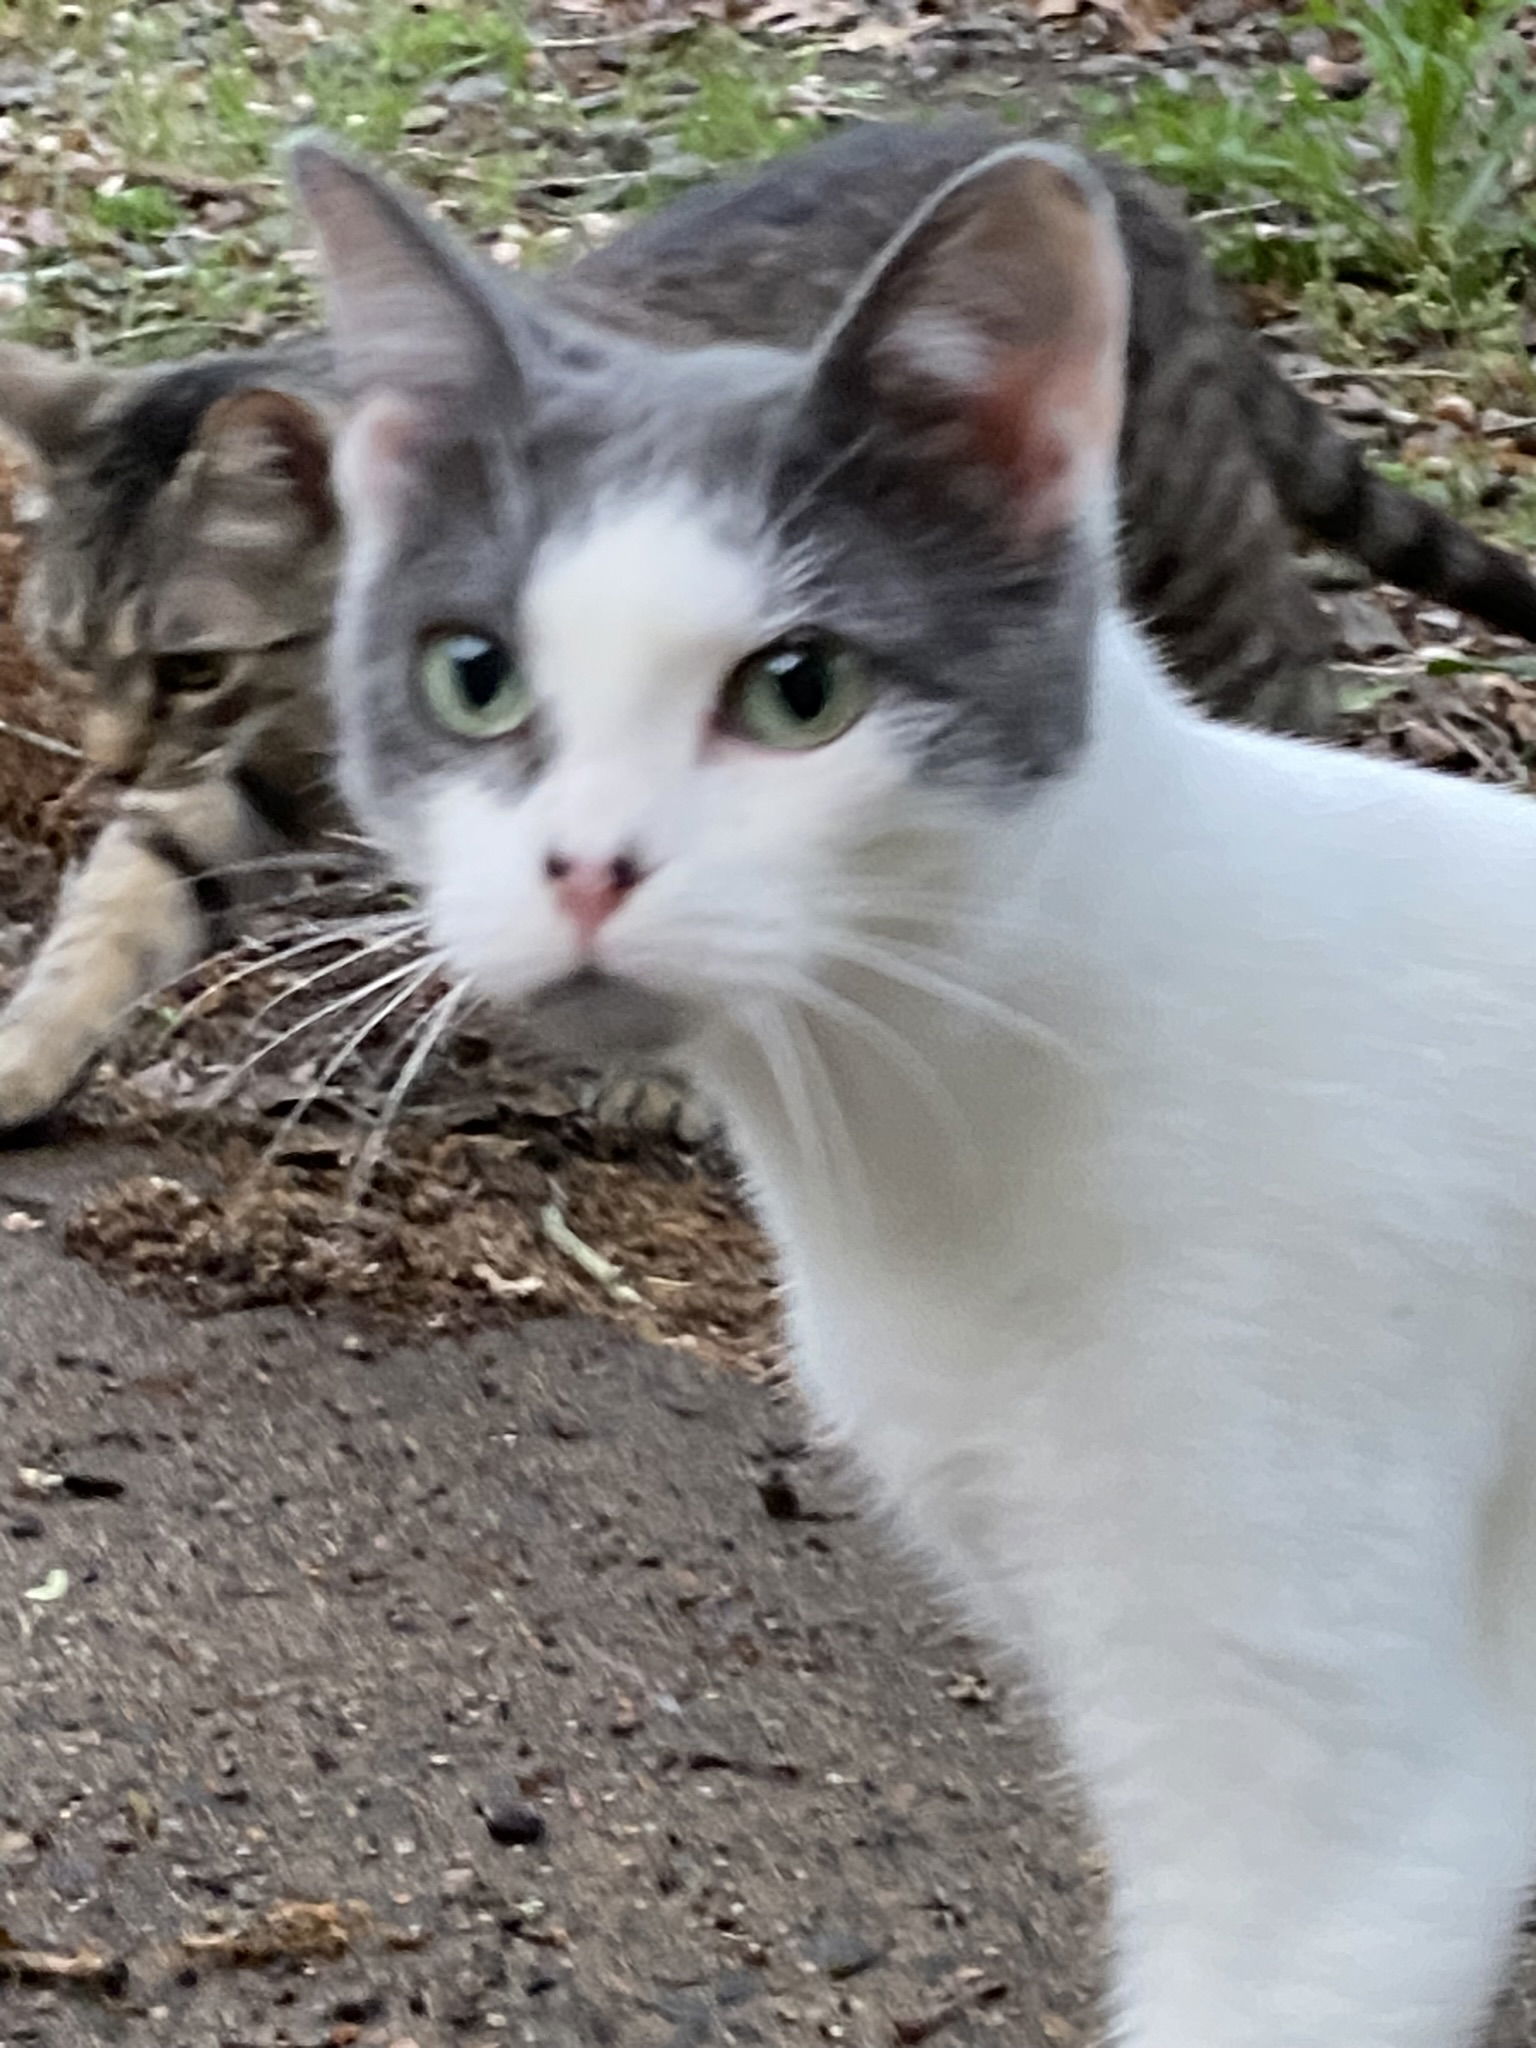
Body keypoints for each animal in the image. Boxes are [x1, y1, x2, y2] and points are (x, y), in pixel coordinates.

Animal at [3, 119, 1536, 1146]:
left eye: (189, 668)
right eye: (70, 656)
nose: (104, 762)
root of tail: (1141, 197)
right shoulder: (243, 780)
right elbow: (123, 904)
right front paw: (30, 1048)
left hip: (1185, 542)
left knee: (1285, 654)